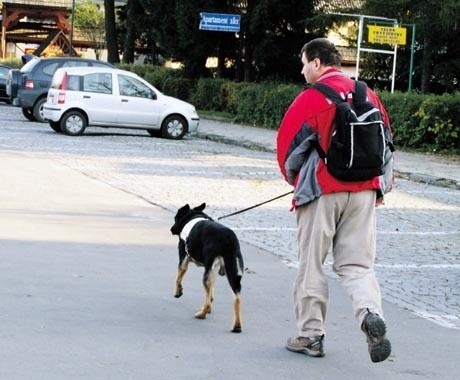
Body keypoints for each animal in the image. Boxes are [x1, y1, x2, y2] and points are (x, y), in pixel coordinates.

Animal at [171, 203, 244, 332]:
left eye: (175, 218)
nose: (171, 229)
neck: (193, 216)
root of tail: (228, 240)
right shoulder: (213, 271)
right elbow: (211, 293)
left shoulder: (183, 260)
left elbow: (178, 279)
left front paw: (177, 292)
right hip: (232, 273)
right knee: (236, 299)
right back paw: (236, 326)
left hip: (209, 271)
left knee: (210, 300)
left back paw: (201, 314)